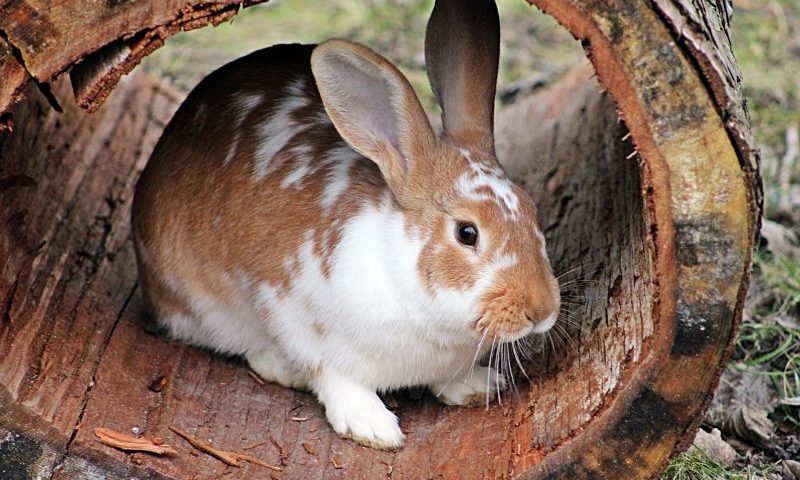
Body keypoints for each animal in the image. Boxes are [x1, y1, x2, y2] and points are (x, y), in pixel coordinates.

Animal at [131, 0, 560, 449]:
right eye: (467, 232)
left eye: (531, 209)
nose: (542, 310)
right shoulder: (301, 323)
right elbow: (336, 379)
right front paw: (374, 428)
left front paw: (478, 387)